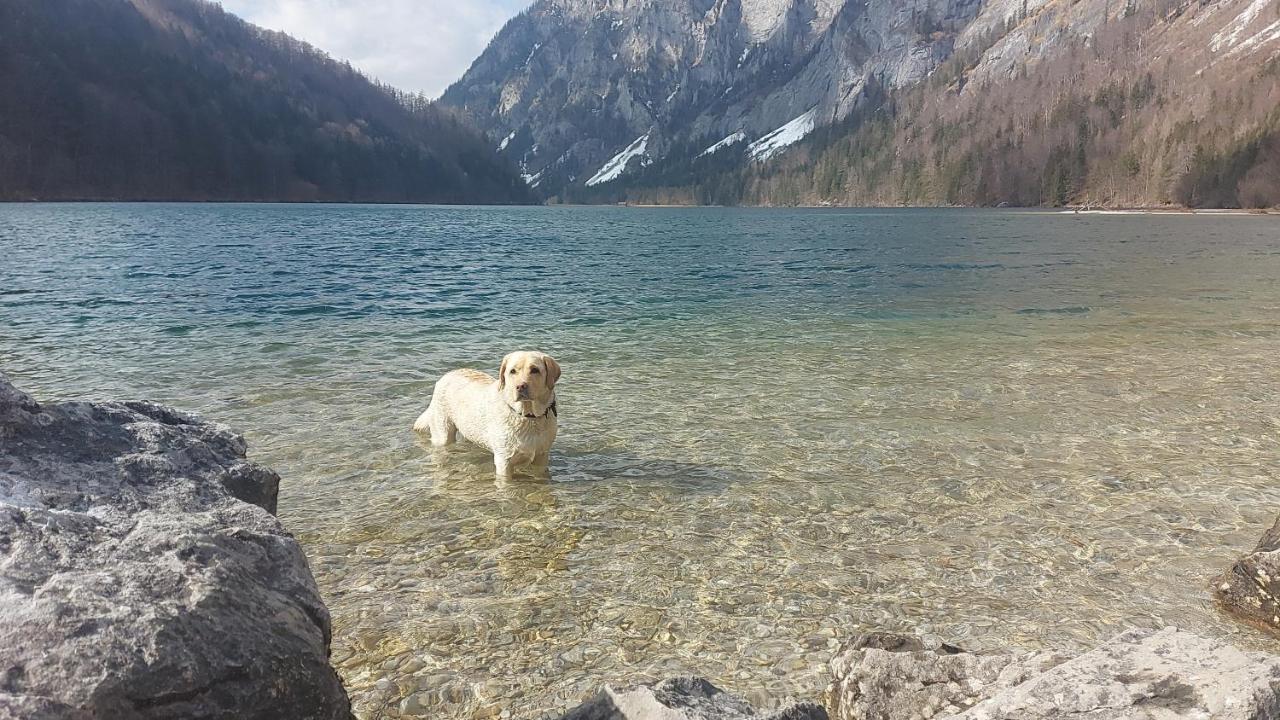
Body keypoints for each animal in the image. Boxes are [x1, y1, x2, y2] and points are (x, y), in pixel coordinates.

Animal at [414, 348, 560, 476]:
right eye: (512, 371)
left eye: (535, 370)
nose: (520, 386)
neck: (529, 417)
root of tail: (446, 375)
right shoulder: (504, 461)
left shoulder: (542, 457)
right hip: (443, 434)